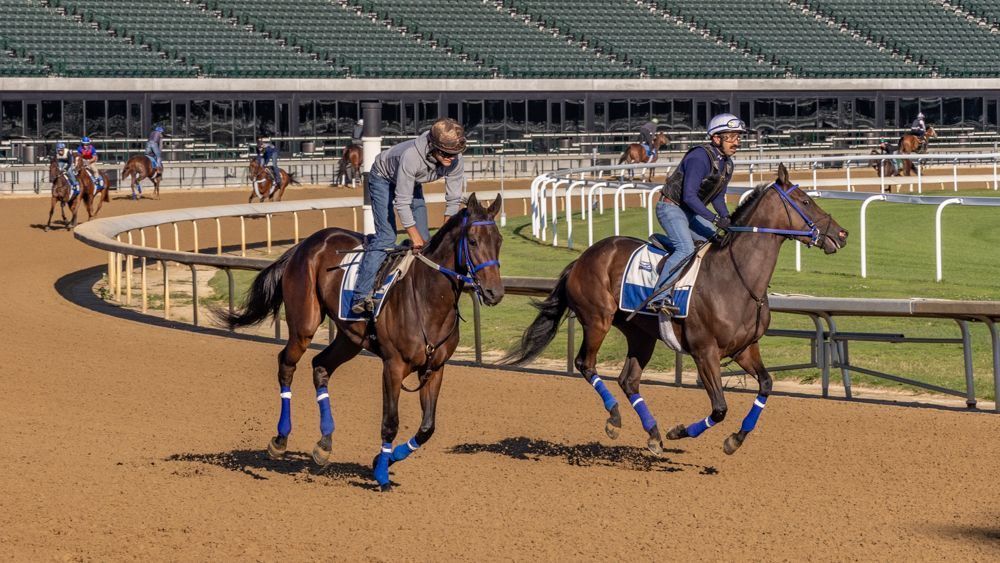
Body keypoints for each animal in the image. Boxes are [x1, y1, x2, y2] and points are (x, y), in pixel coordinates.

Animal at [221, 194, 504, 491]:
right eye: (472, 241)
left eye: (498, 240)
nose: (494, 292)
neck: (429, 299)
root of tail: (305, 244)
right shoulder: (393, 366)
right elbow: (390, 422)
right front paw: (381, 474)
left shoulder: (435, 368)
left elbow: (427, 427)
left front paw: (385, 458)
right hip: (304, 325)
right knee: (286, 365)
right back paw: (280, 440)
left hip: (350, 339)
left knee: (320, 366)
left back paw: (324, 445)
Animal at [501, 164, 848, 456]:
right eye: (804, 201)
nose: (841, 234)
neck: (736, 278)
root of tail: (582, 258)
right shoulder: (704, 351)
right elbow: (719, 408)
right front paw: (680, 432)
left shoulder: (744, 348)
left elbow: (766, 385)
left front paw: (734, 440)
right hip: (597, 319)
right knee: (585, 364)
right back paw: (615, 419)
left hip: (640, 334)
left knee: (629, 380)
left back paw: (653, 434)